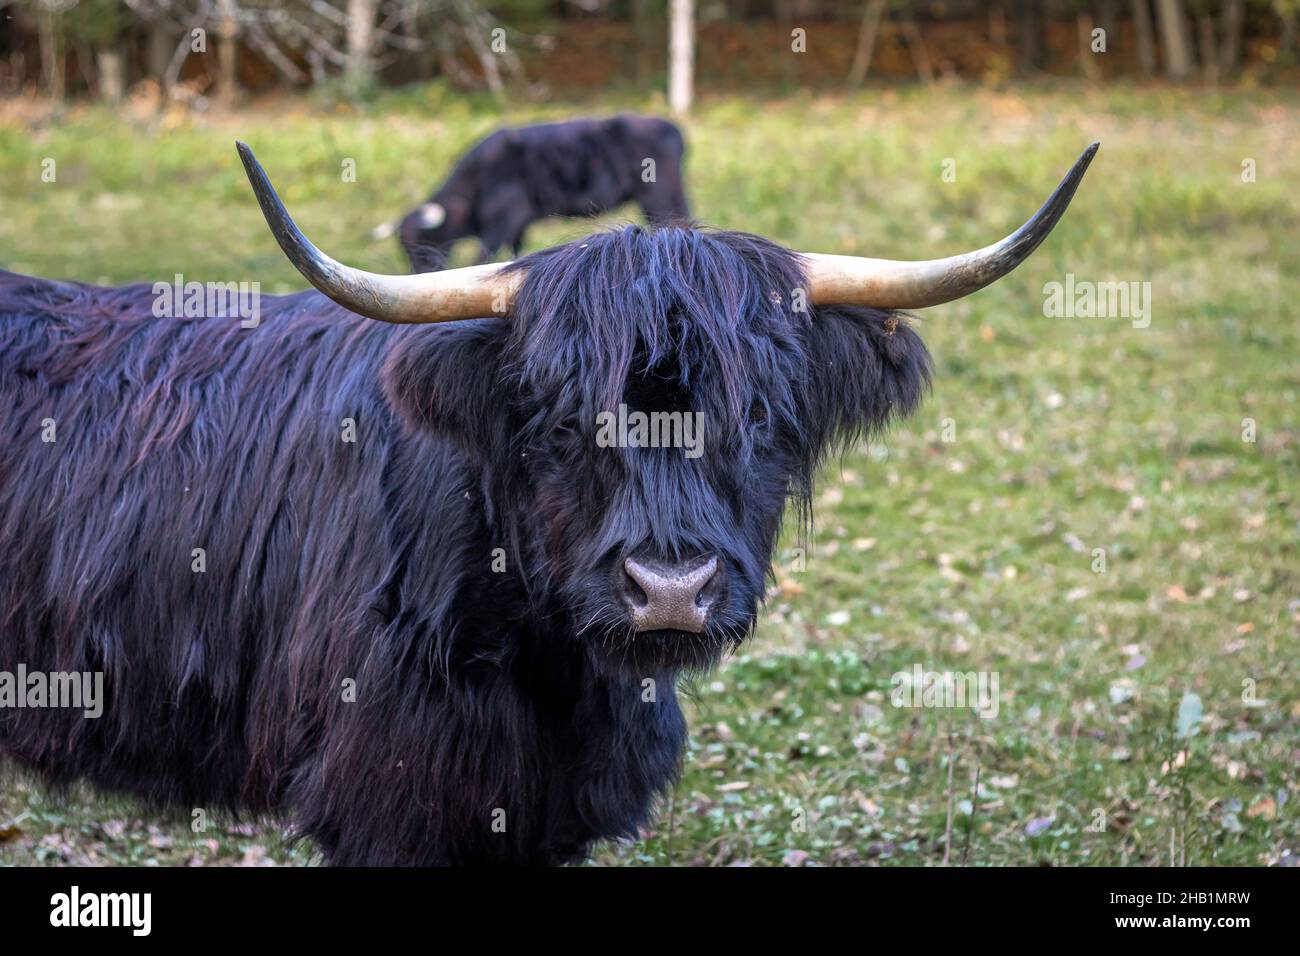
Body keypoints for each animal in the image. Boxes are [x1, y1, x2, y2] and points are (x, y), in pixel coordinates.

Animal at [387, 117, 691, 273]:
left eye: (426, 241)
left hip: (660, 195)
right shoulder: (517, 227)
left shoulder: (502, 223)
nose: (419, 274)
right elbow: (514, 253)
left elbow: (481, 259)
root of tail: (669, 125)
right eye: (404, 249)